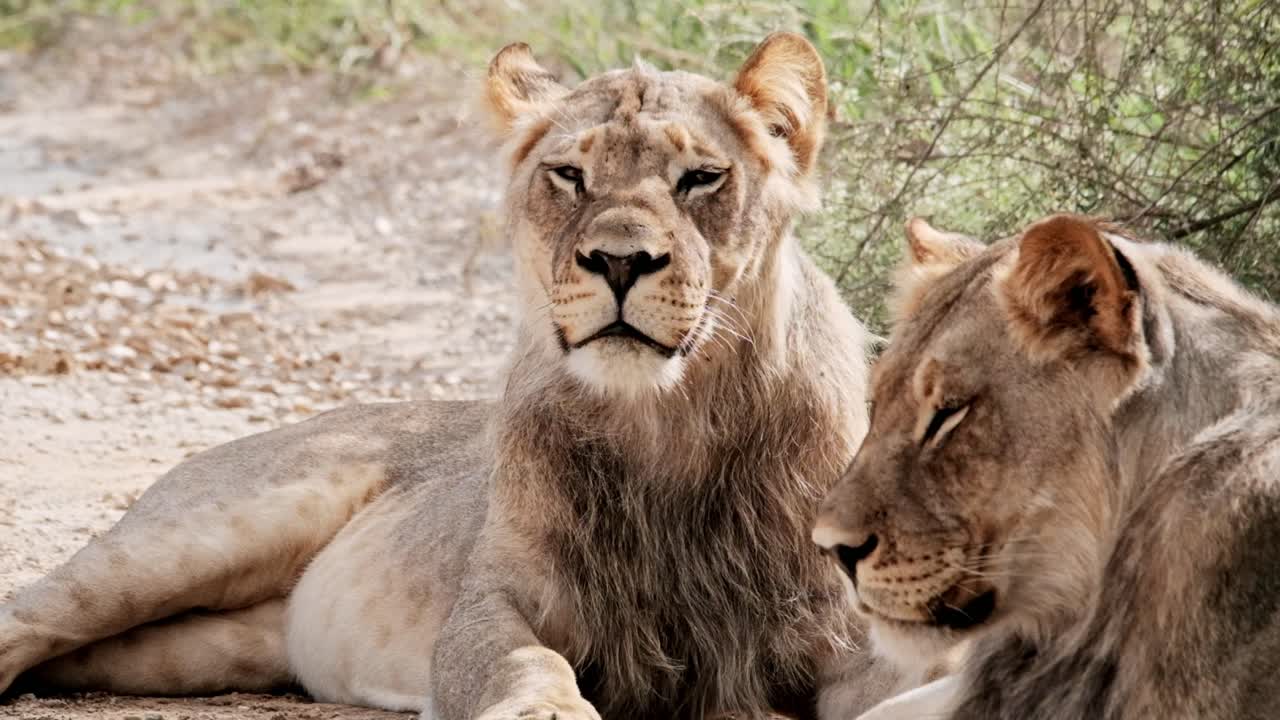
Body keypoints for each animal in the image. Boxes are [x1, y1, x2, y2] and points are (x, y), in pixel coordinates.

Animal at [0, 34, 901, 720]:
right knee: (31, 610)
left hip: (197, 642)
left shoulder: (855, 629)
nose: (619, 261)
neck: (665, 422)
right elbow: (521, 662)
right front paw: (545, 710)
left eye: (701, 178)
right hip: (194, 536)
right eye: (571, 175)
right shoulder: (495, 598)